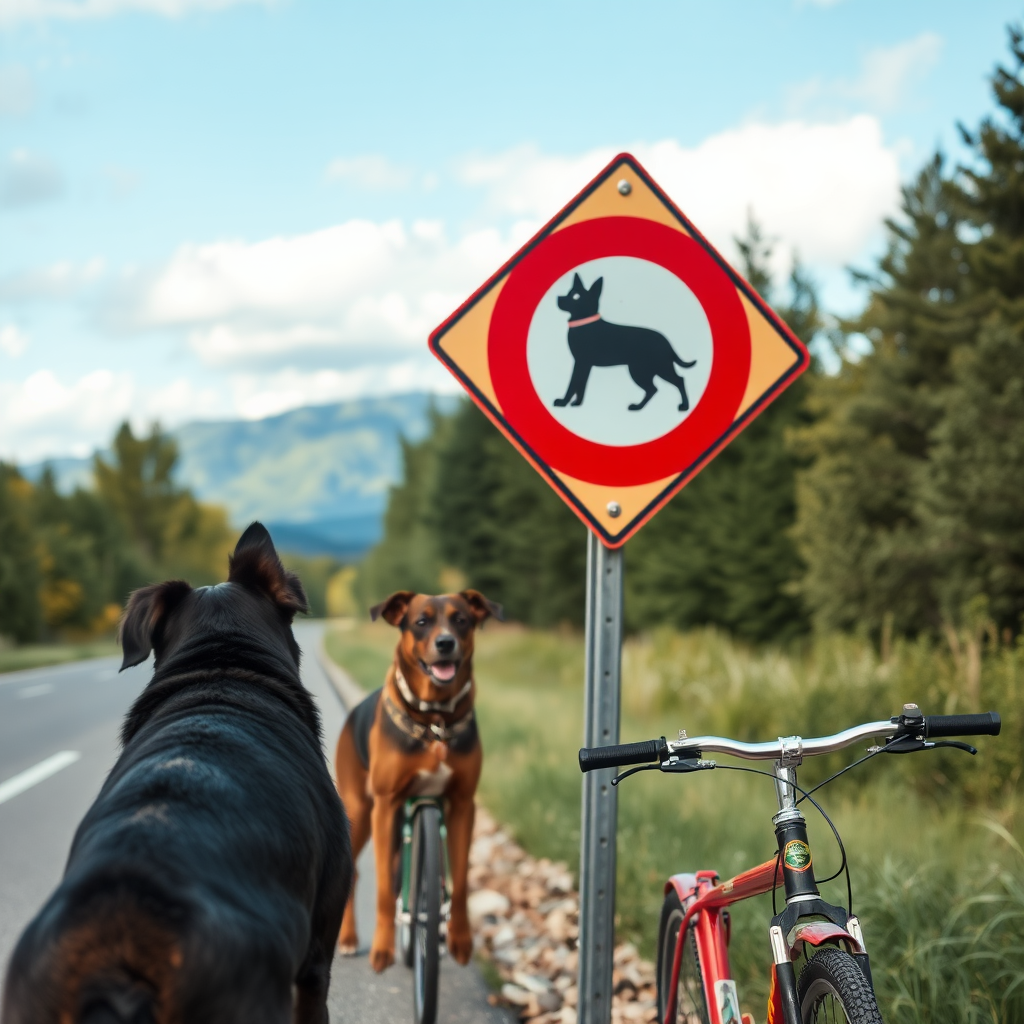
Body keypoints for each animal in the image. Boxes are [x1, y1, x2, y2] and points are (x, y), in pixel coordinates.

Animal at [331, 589, 499, 970]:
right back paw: (348, 938)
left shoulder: (462, 806)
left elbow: (460, 883)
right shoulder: (386, 804)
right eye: (421, 621)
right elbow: (382, 891)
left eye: (461, 620)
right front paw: (383, 948)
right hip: (360, 810)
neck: (434, 720)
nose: (445, 642)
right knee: (354, 873)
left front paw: (459, 939)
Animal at [552, 276, 696, 415]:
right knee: (653, 389)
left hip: (654, 368)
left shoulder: (581, 362)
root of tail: (666, 342)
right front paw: (577, 403)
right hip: (645, 370)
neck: (584, 322)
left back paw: (684, 406)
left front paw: (563, 402)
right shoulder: (584, 364)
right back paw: (638, 407)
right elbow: (581, 384)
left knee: (677, 381)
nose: (558, 298)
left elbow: (573, 383)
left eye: (575, 296)